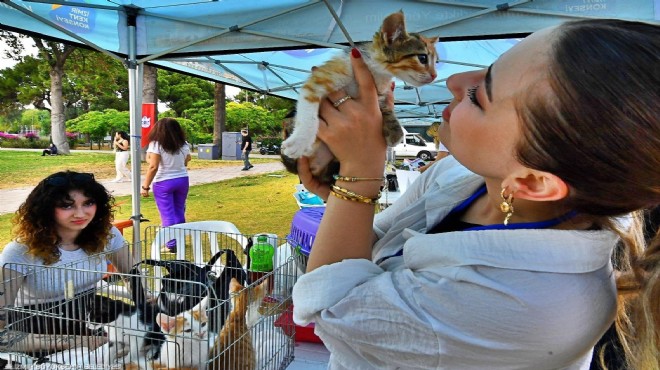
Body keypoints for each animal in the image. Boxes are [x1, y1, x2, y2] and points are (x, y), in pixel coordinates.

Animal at [280, 10, 438, 184]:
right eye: (422, 58)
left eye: (436, 62)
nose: (434, 76)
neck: (377, 71)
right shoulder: (320, 79)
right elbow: (308, 111)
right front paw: (300, 141)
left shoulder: (379, 93)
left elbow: (384, 107)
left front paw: (394, 130)